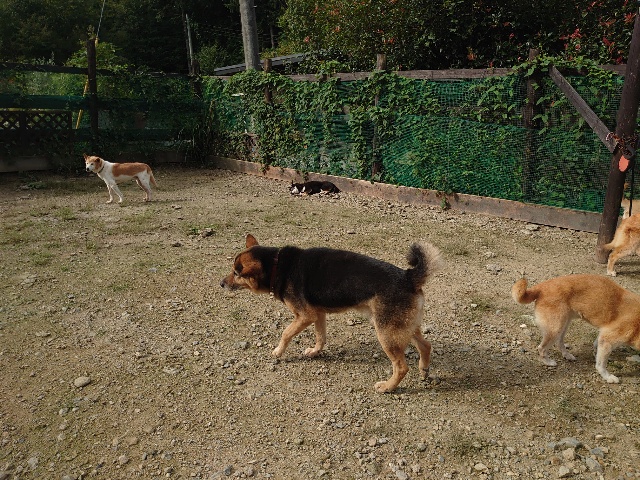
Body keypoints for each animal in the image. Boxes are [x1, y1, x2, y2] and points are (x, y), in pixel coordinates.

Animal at [220, 234, 443, 392]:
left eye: (236, 273)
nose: (221, 283)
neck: (277, 265)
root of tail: (408, 277)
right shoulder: (317, 314)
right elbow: (321, 337)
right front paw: (314, 351)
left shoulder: (305, 316)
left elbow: (285, 333)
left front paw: (277, 352)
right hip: (403, 326)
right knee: (426, 345)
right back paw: (424, 370)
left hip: (386, 333)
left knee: (401, 367)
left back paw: (387, 387)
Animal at [512, 274, 640, 383]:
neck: (638, 325)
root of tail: (541, 287)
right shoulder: (608, 339)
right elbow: (601, 365)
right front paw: (607, 377)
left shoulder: (603, 335)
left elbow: (597, 347)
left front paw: (595, 352)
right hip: (555, 328)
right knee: (541, 348)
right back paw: (548, 362)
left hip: (564, 324)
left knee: (559, 343)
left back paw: (567, 355)